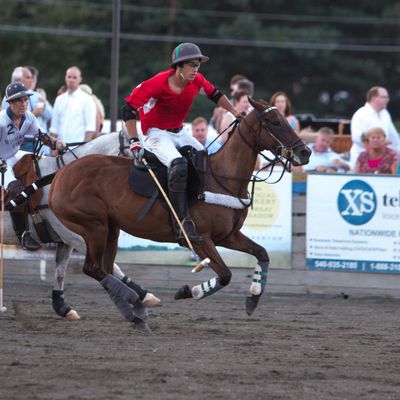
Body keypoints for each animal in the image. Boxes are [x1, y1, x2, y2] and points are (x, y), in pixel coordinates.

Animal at [3, 131, 159, 323]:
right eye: (140, 153)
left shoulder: (66, 239)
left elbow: (60, 271)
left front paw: (62, 307)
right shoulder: (78, 237)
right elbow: (110, 267)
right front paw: (143, 295)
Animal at [48, 97, 311, 327]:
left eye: (285, 119)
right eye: (275, 121)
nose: (305, 152)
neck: (221, 178)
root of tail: (60, 174)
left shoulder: (229, 236)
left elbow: (261, 253)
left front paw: (253, 296)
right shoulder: (201, 238)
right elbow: (225, 274)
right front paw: (189, 291)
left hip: (111, 228)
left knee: (104, 268)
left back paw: (136, 311)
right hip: (95, 226)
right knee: (92, 268)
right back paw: (136, 305)